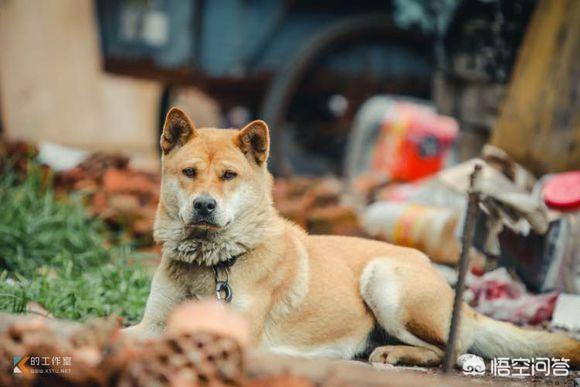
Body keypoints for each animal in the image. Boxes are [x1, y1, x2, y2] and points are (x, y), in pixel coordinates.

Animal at [128, 107, 580, 368]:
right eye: (189, 172)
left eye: (228, 175)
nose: (204, 206)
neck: (214, 261)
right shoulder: (152, 321)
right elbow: (124, 330)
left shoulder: (229, 331)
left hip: (383, 280)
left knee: (450, 350)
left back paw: (397, 354)